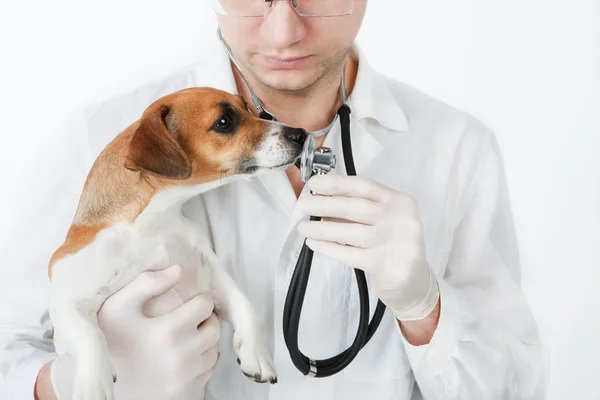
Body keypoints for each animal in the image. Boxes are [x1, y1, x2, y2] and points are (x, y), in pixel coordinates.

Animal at [47, 87, 308, 400]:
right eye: (224, 122)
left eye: (247, 108)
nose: (301, 133)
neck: (150, 228)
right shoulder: (66, 299)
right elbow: (90, 334)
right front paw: (93, 384)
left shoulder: (210, 279)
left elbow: (243, 302)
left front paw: (256, 353)